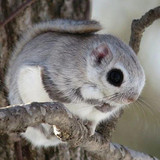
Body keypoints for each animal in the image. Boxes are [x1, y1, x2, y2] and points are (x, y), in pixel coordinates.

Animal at [5, 19, 145, 148]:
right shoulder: (59, 78)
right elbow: (73, 96)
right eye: (115, 77)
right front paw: (95, 102)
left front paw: (105, 108)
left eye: (143, 79)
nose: (131, 99)